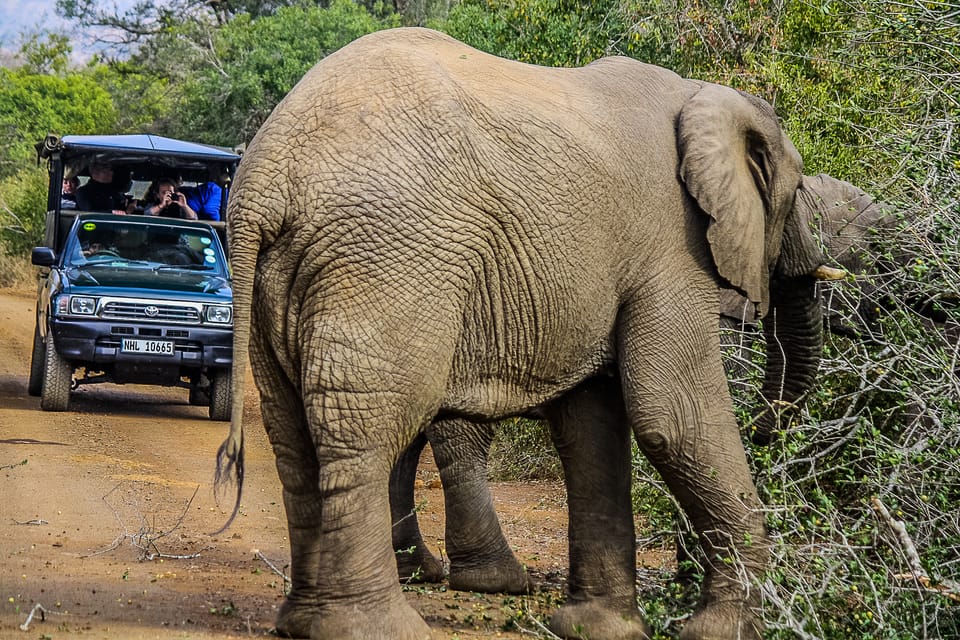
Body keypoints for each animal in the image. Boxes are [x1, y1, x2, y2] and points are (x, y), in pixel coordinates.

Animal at [216, 26, 840, 640]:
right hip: (384, 258)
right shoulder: (670, 245)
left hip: (287, 274)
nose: (768, 429)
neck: (704, 97)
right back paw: (376, 627)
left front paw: (596, 629)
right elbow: (673, 416)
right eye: (796, 192)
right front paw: (724, 630)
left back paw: (303, 623)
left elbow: (591, 425)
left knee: (293, 433)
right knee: (367, 427)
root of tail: (264, 178)